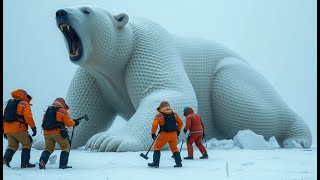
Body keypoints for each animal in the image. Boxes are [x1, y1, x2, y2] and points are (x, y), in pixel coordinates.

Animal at [33, 5, 312, 151]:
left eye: (86, 10)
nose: (60, 12)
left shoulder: (148, 46)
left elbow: (168, 92)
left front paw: (109, 140)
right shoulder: (94, 76)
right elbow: (83, 109)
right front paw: (43, 140)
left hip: (233, 75)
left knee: (251, 104)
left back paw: (297, 138)